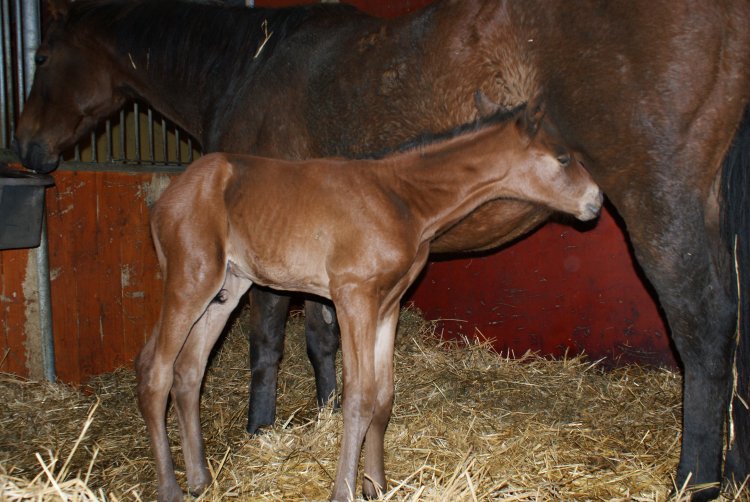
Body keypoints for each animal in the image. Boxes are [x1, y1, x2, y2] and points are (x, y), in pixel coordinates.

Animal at [137, 104, 604, 500]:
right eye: (563, 158)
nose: (596, 201)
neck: (402, 201)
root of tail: (164, 197)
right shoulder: (354, 298)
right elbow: (358, 398)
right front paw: (343, 490)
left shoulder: (387, 305)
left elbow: (383, 397)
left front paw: (375, 485)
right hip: (190, 280)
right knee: (155, 370)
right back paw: (171, 489)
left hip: (226, 289)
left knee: (189, 371)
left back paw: (200, 479)